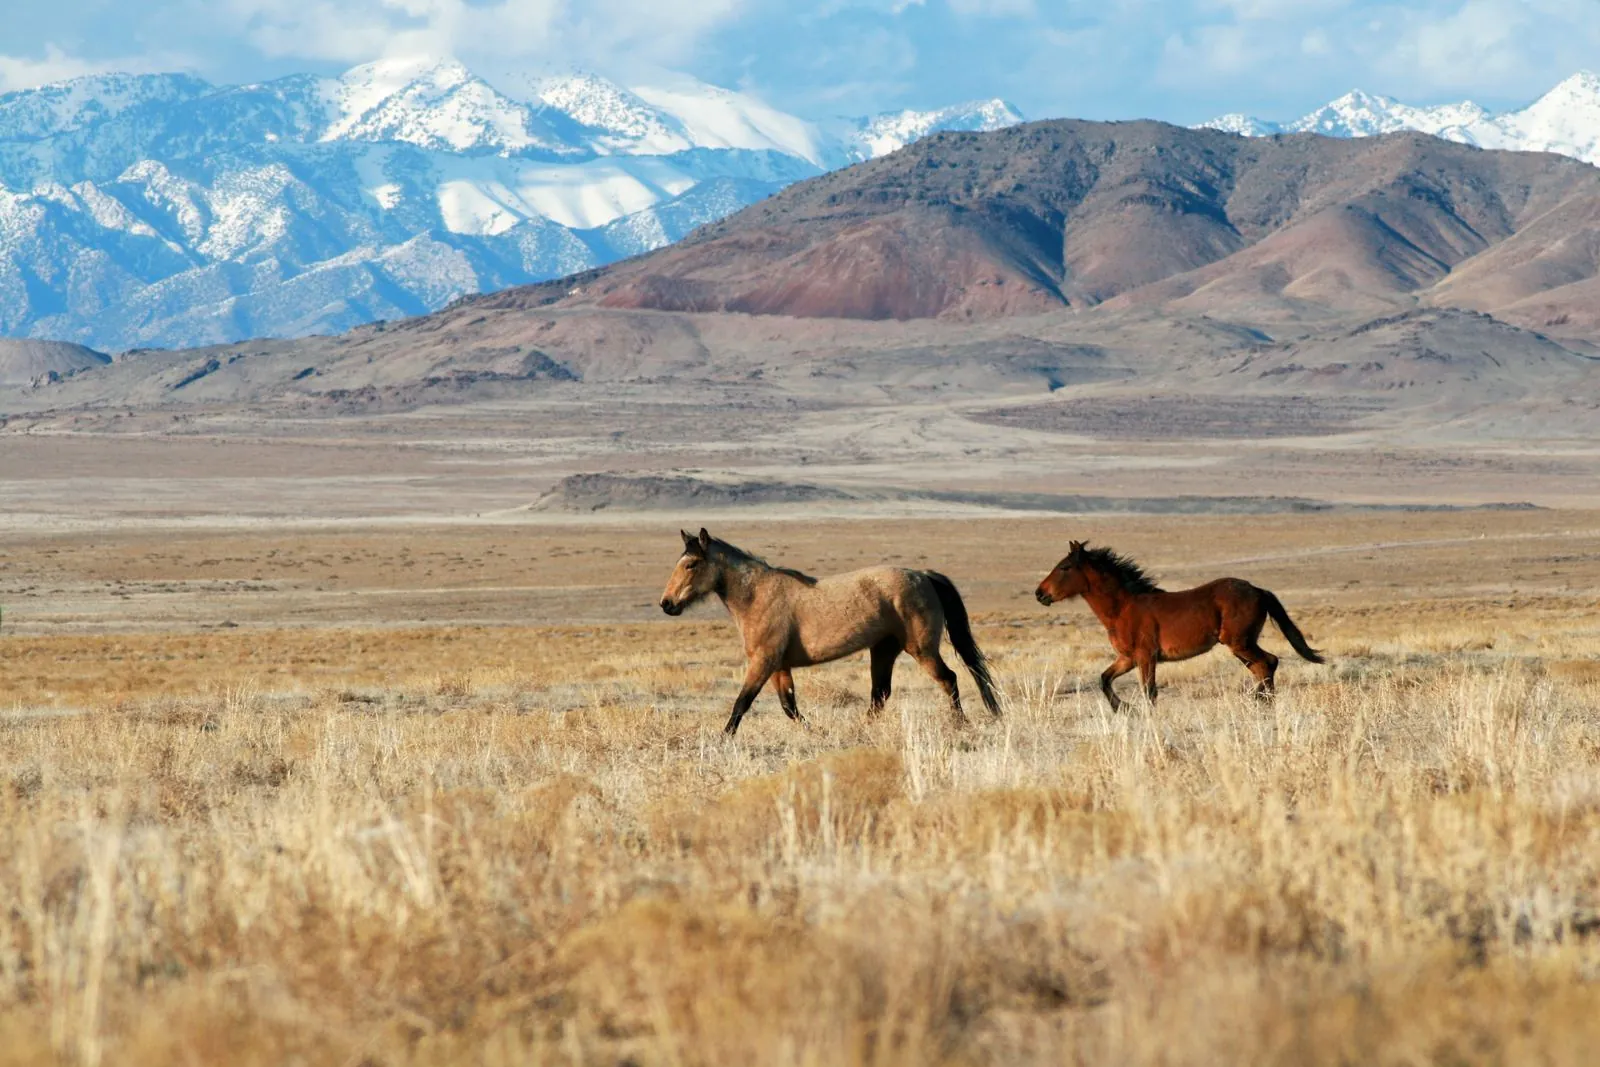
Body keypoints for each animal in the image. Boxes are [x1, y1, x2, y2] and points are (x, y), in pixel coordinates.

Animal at [659, 528, 1001, 735]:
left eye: (691, 565)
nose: (666, 604)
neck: (758, 596)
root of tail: (924, 575)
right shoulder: (778, 666)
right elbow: (789, 707)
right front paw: (817, 732)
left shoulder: (763, 662)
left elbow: (742, 703)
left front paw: (723, 739)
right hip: (883, 649)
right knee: (880, 694)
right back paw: (861, 731)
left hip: (921, 649)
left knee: (948, 679)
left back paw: (960, 724)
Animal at [1034, 541, 1324, 710]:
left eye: (1065, 567)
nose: (1040, 594)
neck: (1122, 608)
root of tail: (1258, 590)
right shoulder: (1127, 658)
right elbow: (1104, 679)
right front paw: (1123, 708)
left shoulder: (1146, 656)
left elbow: (1149, 692)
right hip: (1242, 645)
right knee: (1263, 666)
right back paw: (1261, 702)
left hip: (1239, 642)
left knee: (1268, 663)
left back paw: (1262, 703)